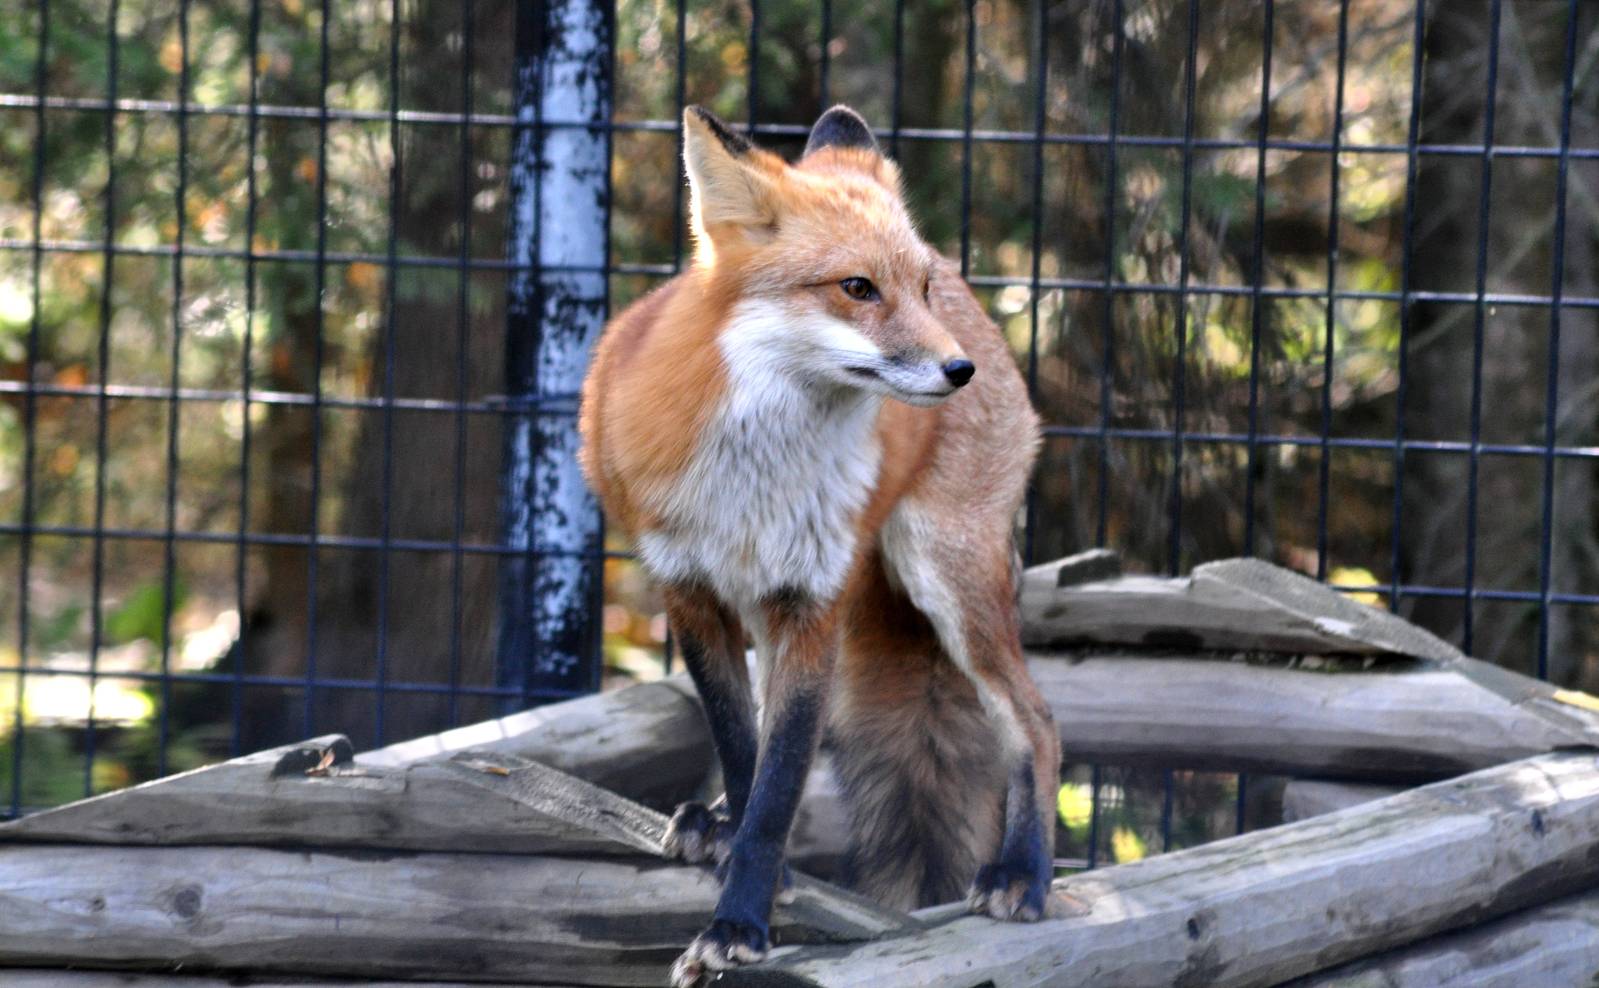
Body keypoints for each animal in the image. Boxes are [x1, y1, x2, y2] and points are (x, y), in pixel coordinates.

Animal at [577, 104, 1058, 984]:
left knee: (1035, 720)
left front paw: (739, 922)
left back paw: (1023, 873)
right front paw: (743, 867)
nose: (957, 370)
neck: (754, 473)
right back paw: (713, 820)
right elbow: (746, 754)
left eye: (917, 290)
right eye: (856, 288)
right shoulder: (688, 592)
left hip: (947, 581)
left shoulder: (813, 600)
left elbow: (777, 787)